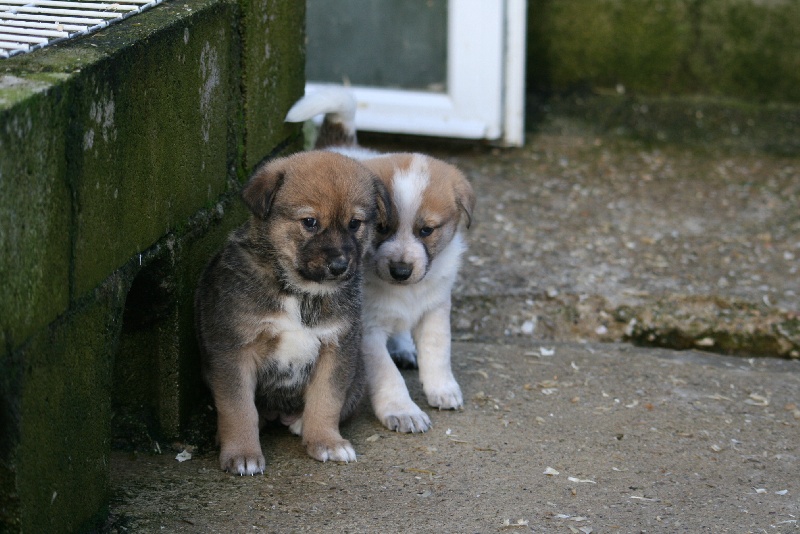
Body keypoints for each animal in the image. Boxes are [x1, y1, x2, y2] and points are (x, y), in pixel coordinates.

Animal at [197, 149, 390, 476]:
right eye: (309, 222)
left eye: (355, 223)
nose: (340, 266)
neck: (299, 292)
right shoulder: (234, 351)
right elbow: (239, 408)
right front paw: (242, 453)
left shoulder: (337, 347)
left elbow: (326, 399)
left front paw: (326, 441)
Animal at [288, 89, 476, 436]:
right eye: (382, 228)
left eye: (426, 230)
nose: (401, 271)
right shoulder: (368, 331)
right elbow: (388, 375)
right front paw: (403, 411)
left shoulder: (435, 310)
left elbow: (438, 352)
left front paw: (442, 388)